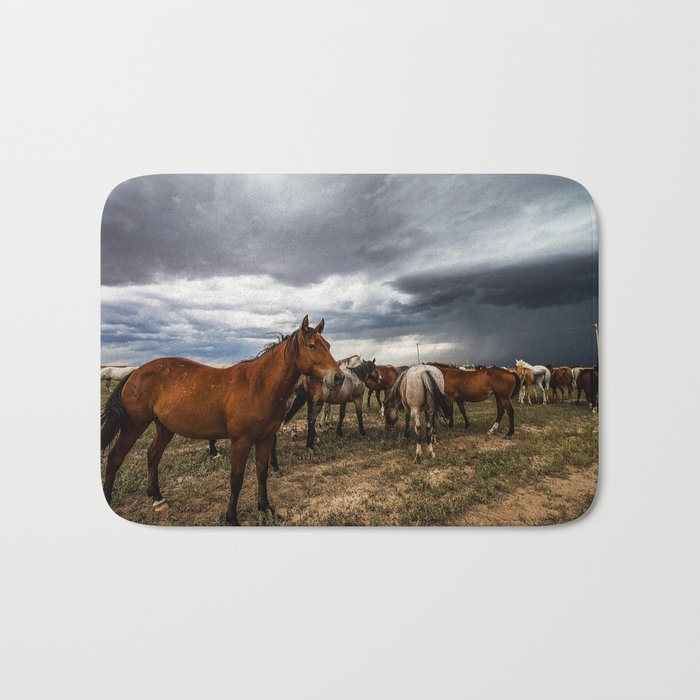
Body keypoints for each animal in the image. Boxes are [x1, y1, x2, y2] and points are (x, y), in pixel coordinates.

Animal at [100, 318, 342, 524]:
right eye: (312, 346)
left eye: (328, 345)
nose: (338, 377)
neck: (259, 385)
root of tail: (134, 374)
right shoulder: (241, 442)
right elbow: (236, 480)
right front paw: (231, 518)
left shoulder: (265, 440)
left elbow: (262, 474)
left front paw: (265, 508)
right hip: (134, 426)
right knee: (115, 458)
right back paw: (110, 500)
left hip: (164, 428)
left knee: (152, 455)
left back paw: (157, 497)